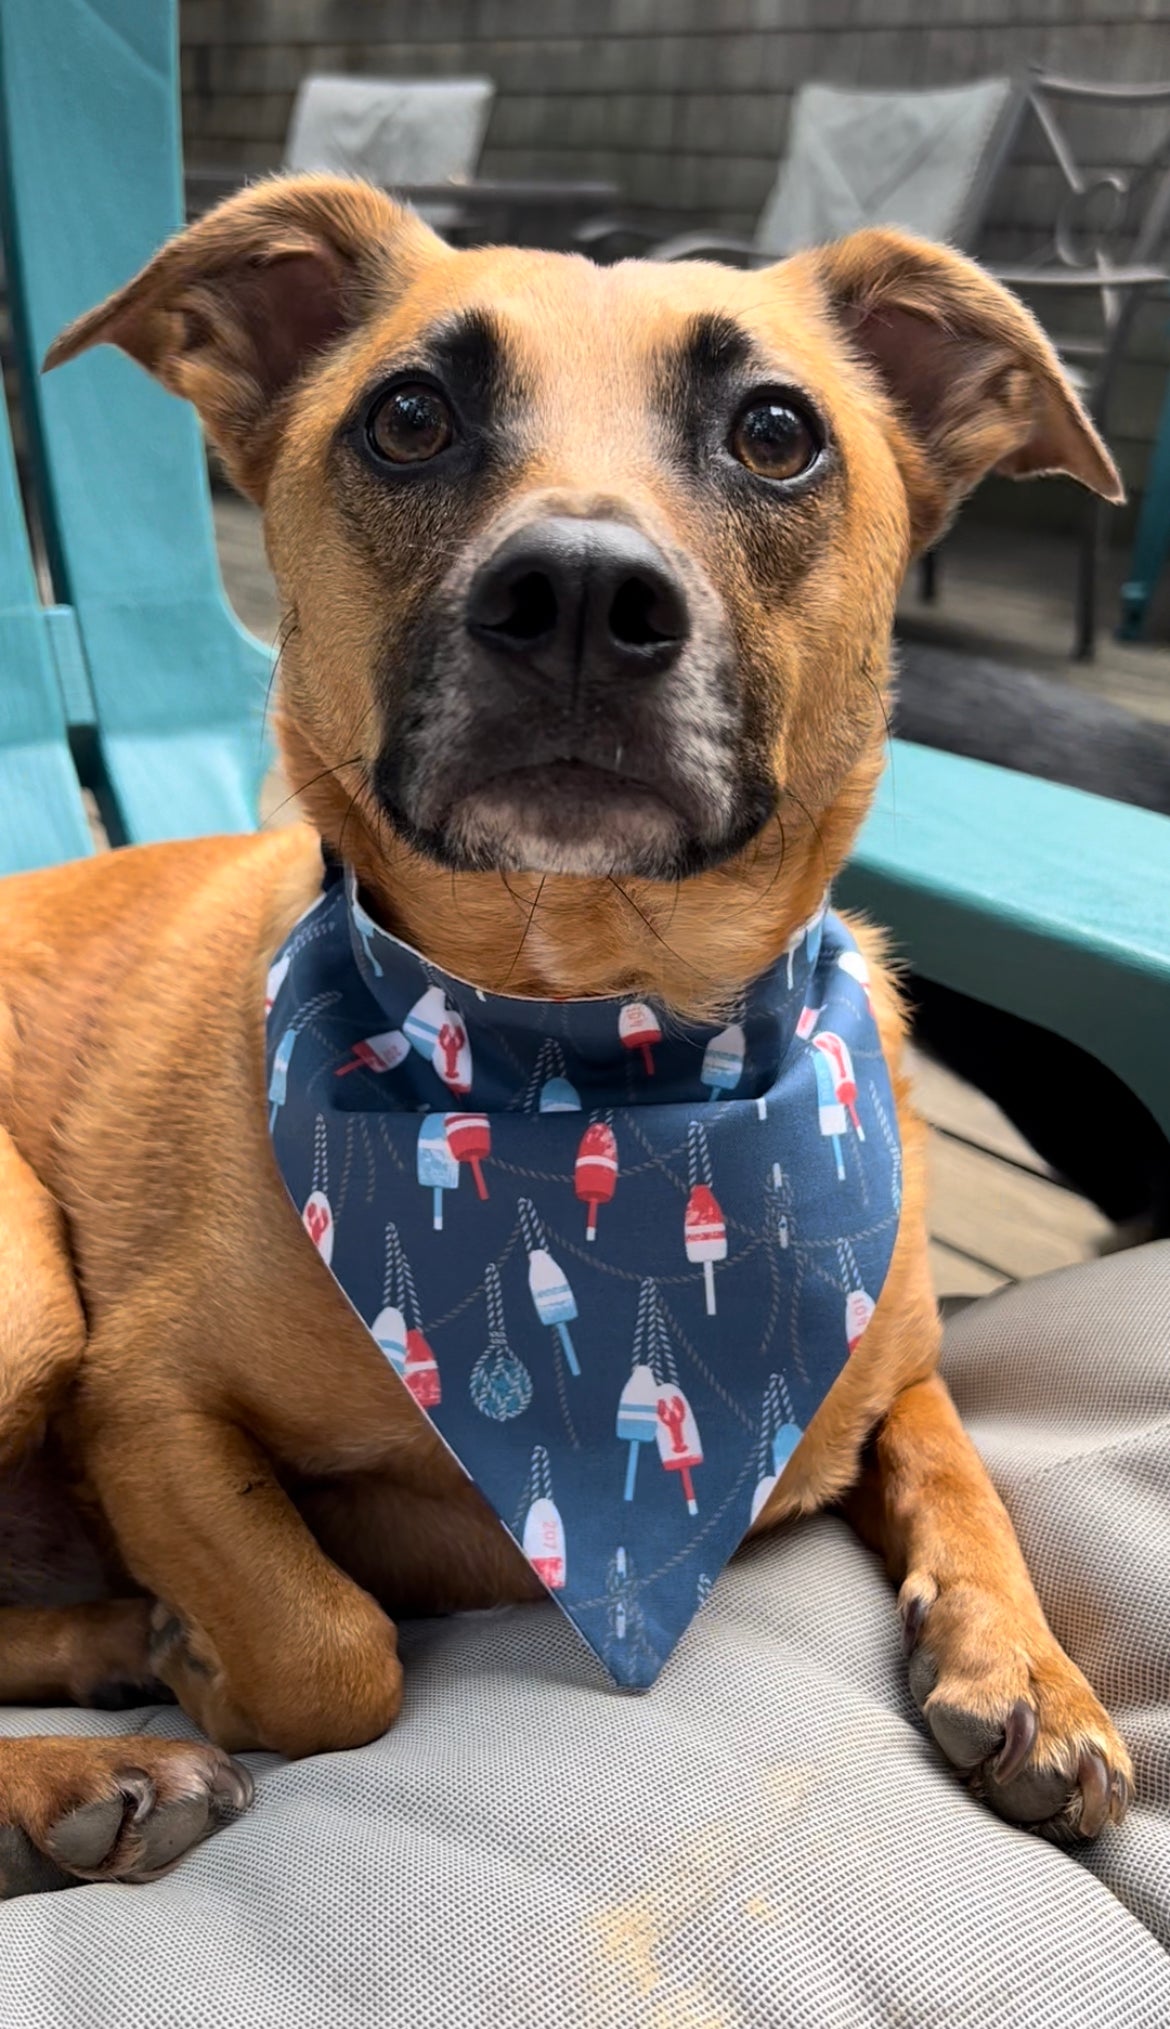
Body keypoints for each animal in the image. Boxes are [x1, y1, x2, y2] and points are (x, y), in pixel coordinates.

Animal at [0, 182, 1135, 1891]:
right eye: (409, 415)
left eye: (776, 432)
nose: (585, 600)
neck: (592, 1047)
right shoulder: (137, 1392)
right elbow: (331, 1652)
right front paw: (212, 1646)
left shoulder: (895, 1357)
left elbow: (953, 1462)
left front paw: (1030, 1671)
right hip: (23, 1284)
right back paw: (96, 1764)